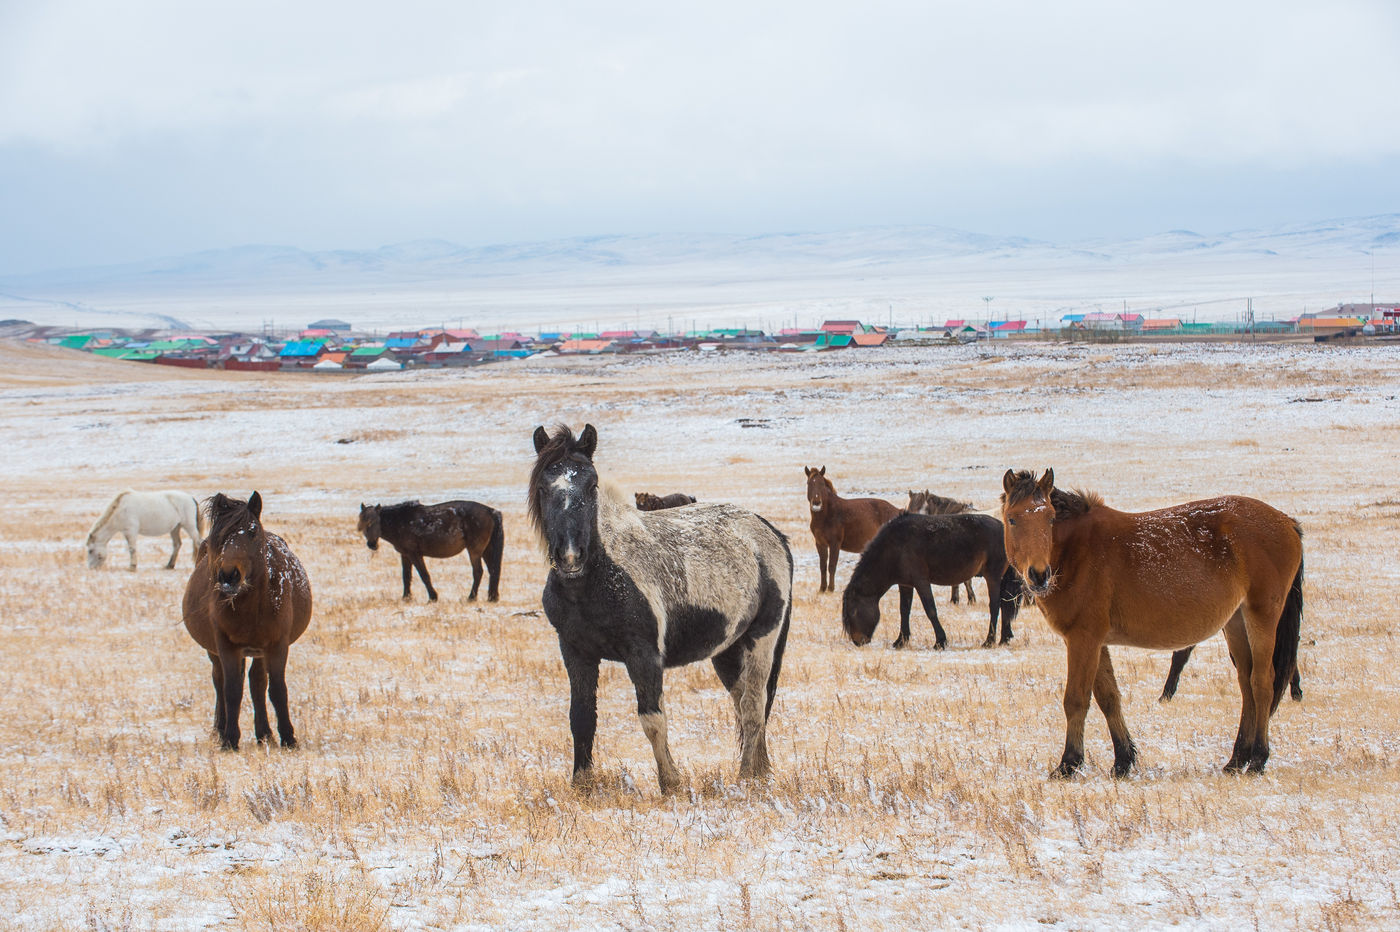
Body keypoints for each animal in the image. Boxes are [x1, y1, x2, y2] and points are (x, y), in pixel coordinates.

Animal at [180, 492, 312, 750]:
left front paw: (288, 737)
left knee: (256, 682)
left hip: (259, 651)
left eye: (251, 531)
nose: (229, 575)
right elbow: (231, 690)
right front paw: (230, 739)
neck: (252, 607)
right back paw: (221, 730)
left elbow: (277, 689)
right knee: (220, 680)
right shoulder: (227, 646)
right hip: (218, 651)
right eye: (219, 535)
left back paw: (265, 734)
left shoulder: (277, 645)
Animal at [355, 498, 504, 598]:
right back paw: (492, 597)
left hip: (474, 550)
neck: (400, 522)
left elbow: (424, 575)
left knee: (478, 572)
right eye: (362, 524)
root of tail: (491, 511)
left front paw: (433, 597)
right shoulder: (405, 555)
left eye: (374, 522)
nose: (372, 544)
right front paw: (406, 597)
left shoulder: (415, 554)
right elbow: (406, 576)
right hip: (486, 550)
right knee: (493, 570)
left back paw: (471, 597)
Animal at [526, 422, 795, 789]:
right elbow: (581, 718)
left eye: (591, 484)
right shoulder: (575, 651)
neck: (594, 581)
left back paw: (745, 777)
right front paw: (581, 784)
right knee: (743, 702)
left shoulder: (644, 654)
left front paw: (671, 783)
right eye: (543, 487)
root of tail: (769, 532)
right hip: (728, 650)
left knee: (753, 705)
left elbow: (652, 719)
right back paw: (760, 769)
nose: (570, 556)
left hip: (762, 639)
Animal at [834, 509, 1024, 646]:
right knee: (1005, 603)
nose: (858, 641)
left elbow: (930, 609)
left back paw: (989, 640)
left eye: (853, 611)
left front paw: (940, 641)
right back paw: (1004, 638)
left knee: (995, 606)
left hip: (992, 576)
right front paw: (901, 641)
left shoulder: (921, 582)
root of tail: (1004, 530)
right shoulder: (905, 584)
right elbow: (904, 610)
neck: (894, 547)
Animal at [996, 464, 1299, 778]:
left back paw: (1258, 759)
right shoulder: (1095, 642)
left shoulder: (1083, 640)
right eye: (1012, 519)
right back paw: (1237, 759)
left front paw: (1069, 762)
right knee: (1245, 683)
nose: (1039, 575)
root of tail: (1286, 521)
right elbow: (1109, 698)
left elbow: (1076, 700)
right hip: (1236, 623)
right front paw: (1123, 760)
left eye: (1050, 518)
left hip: (1262, 616)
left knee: (1262, 682)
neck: (1077, 551)